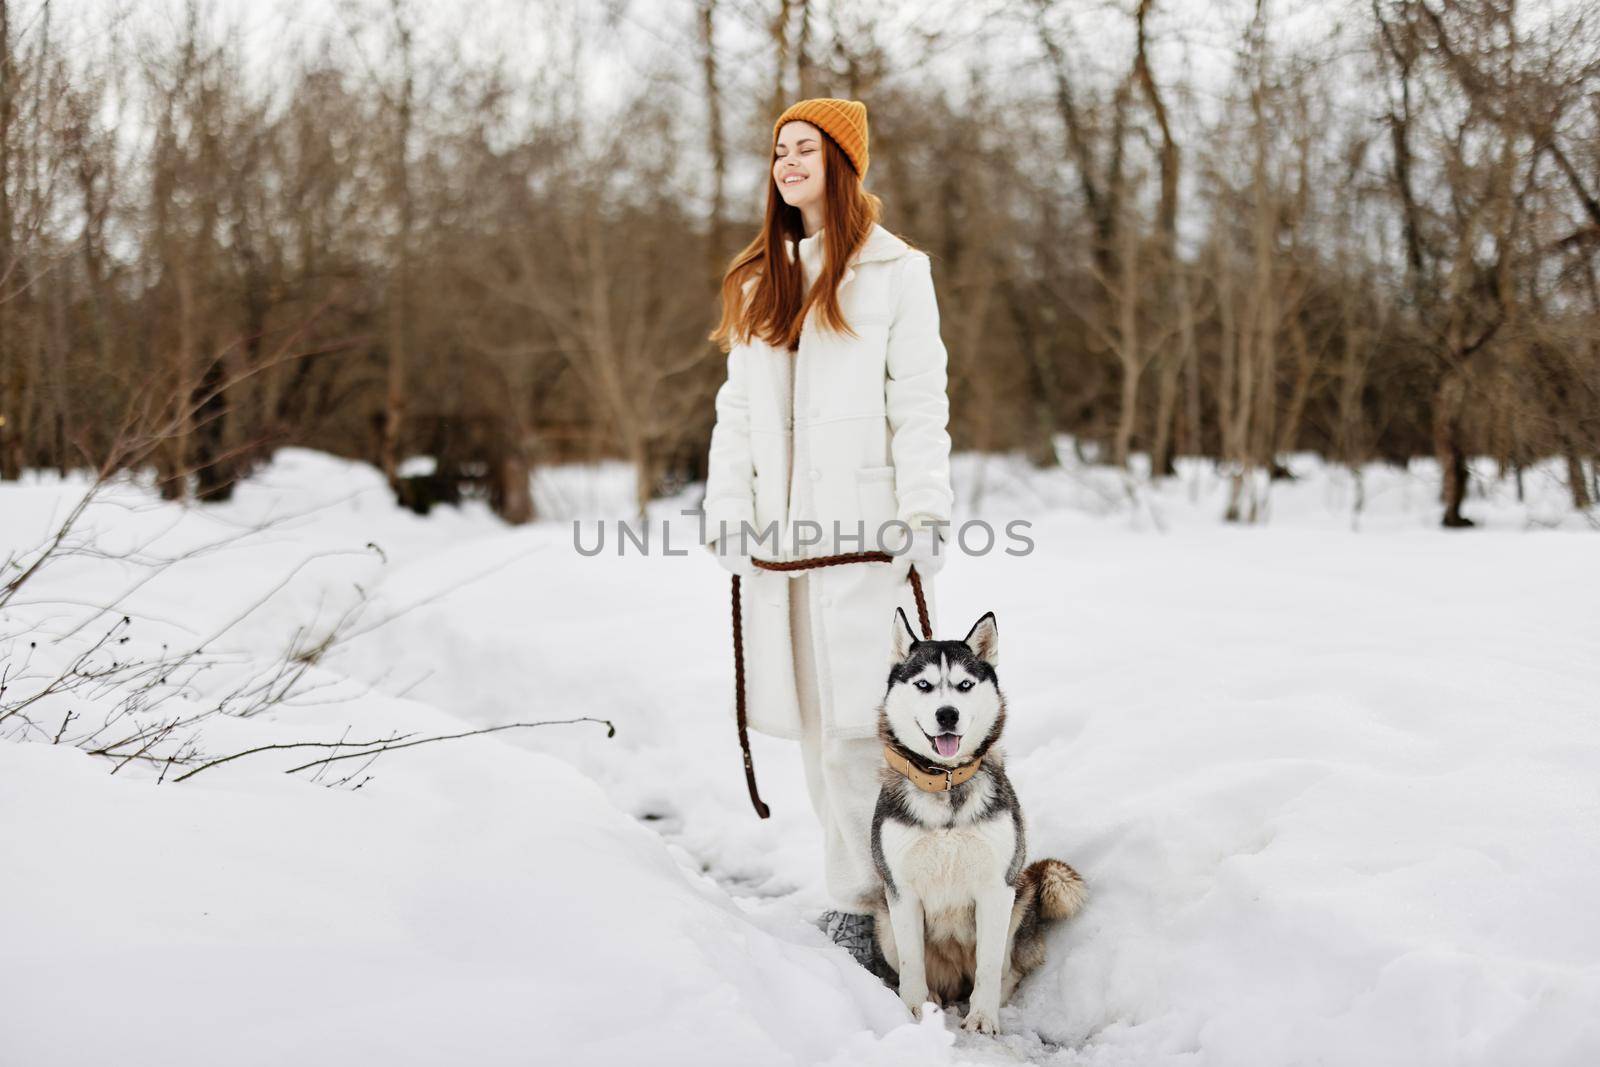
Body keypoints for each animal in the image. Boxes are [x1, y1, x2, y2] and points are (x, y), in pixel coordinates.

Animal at [876, 607, 1088, 1036]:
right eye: (924, 684)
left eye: (964, 685)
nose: (947, 713)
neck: (945, 782)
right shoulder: (901, 892)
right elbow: (911, 963)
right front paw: (914, 1012)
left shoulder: (996, 889)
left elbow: (988, 966)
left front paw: (983, 1018)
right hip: (881, 917)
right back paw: (932, 999)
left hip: (1021, 896)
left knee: (1007, 969)